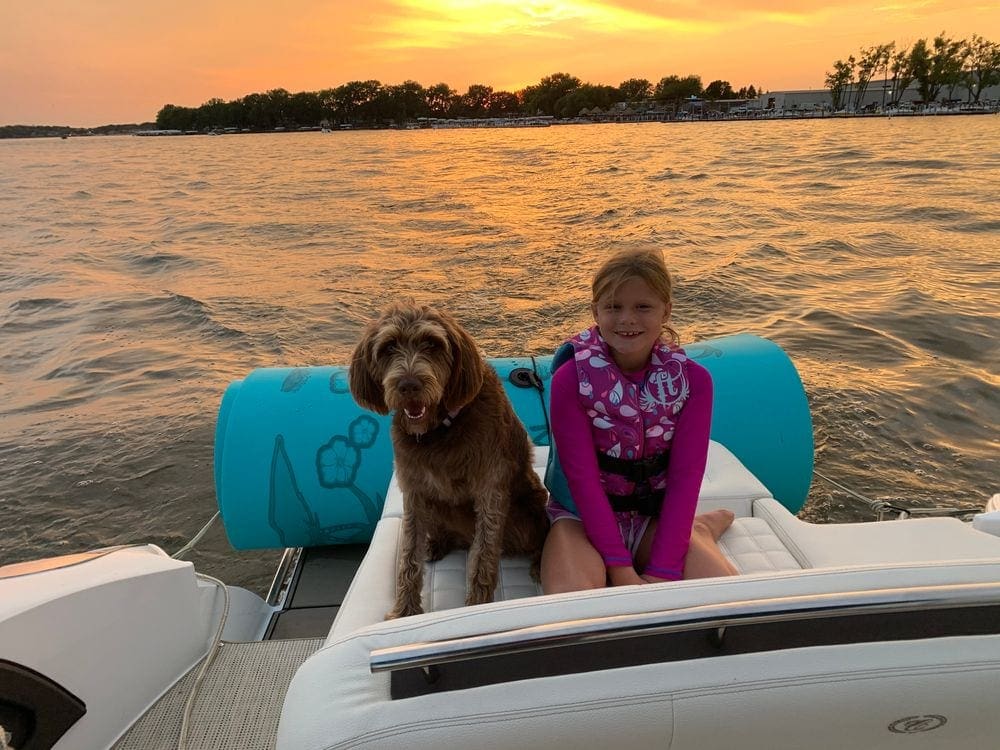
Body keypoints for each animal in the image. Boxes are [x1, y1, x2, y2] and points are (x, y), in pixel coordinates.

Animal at [350, 302, 552, 620]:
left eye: (433, 344)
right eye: (388, 346)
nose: (409, 385)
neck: (440, 429)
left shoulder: (491, 488)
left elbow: (483, 553)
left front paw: (477, 607)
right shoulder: (414, 489)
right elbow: (408, 553)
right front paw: (405, 610)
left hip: (531, 505)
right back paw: (437, 543)